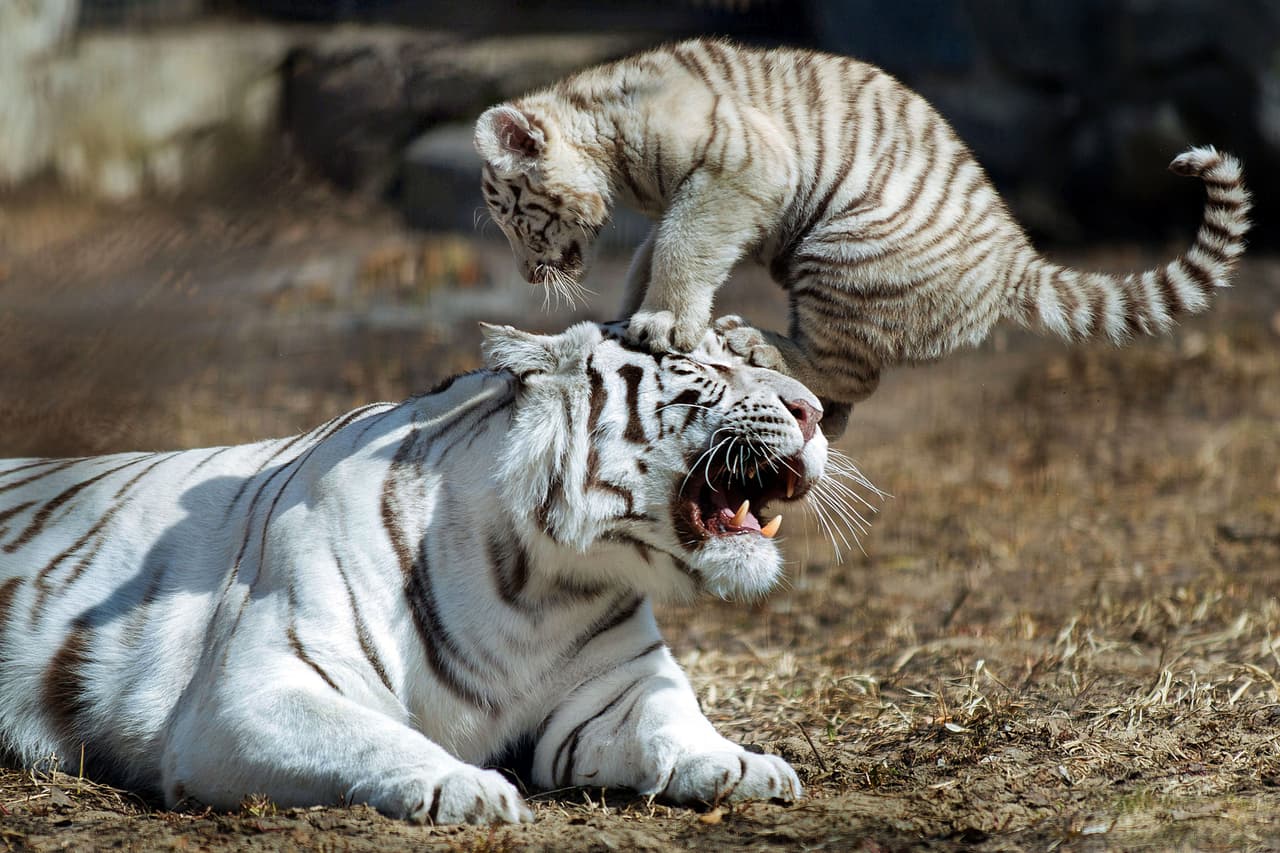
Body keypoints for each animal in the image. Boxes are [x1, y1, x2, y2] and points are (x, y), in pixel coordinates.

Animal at [0, 321, 848, 824]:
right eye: (701, 363)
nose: (816, 412)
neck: (540, 585)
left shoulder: (619, 689)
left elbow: (676, 721)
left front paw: (743, 763)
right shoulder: (251, 692)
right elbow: (371, 734)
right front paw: (467, 786)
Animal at [474, 37, 1252, 436]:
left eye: (514, 215)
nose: (528, 275)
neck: (604, 131)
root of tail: (1016, 262)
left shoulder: (740, 167)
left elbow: (681, 245)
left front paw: (660, 322)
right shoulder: (709, 193)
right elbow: (654, 250)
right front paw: (632, 314)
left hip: (838, 252)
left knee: (854, 373)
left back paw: (760, 345)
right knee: (845, 391)